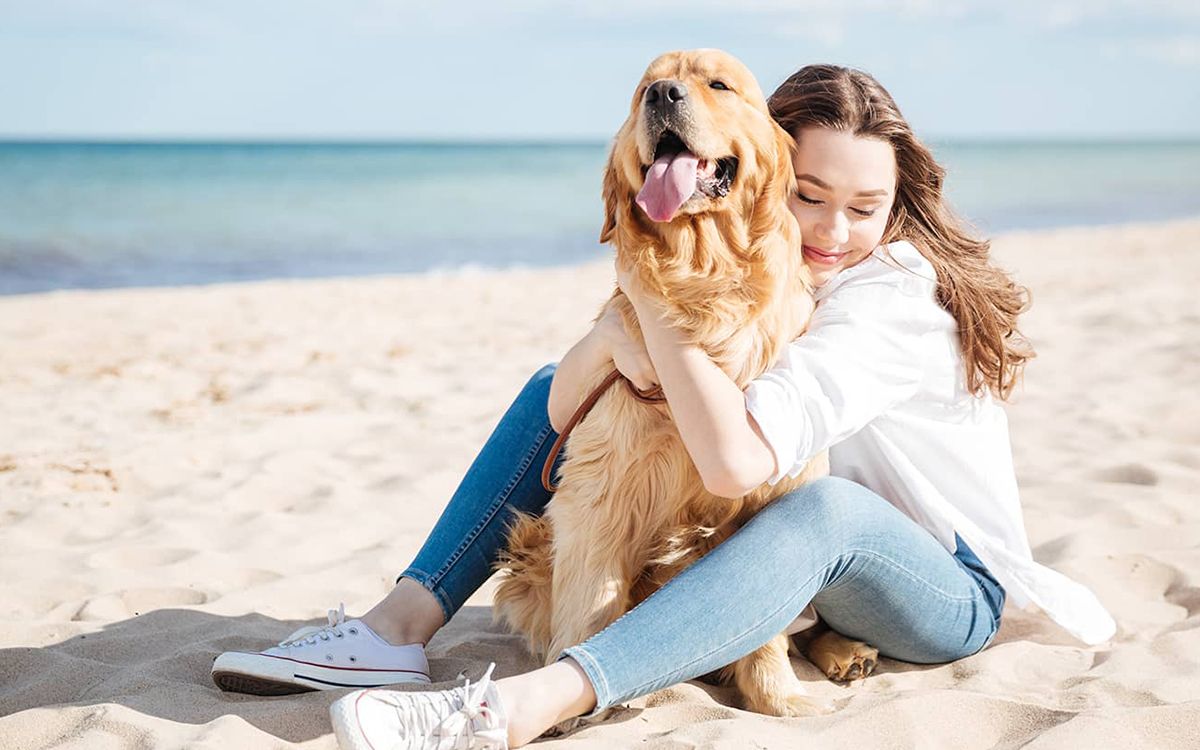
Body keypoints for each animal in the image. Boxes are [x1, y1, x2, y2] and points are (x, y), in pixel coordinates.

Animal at [492, 49, 878, 715]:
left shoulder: (777, 487)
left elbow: (768, 623)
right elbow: (592, 599)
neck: (701, 277)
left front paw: (778, 699)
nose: (664, 95)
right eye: (643, 89)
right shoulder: (601, 484)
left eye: (718, 84)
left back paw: (842, 653)